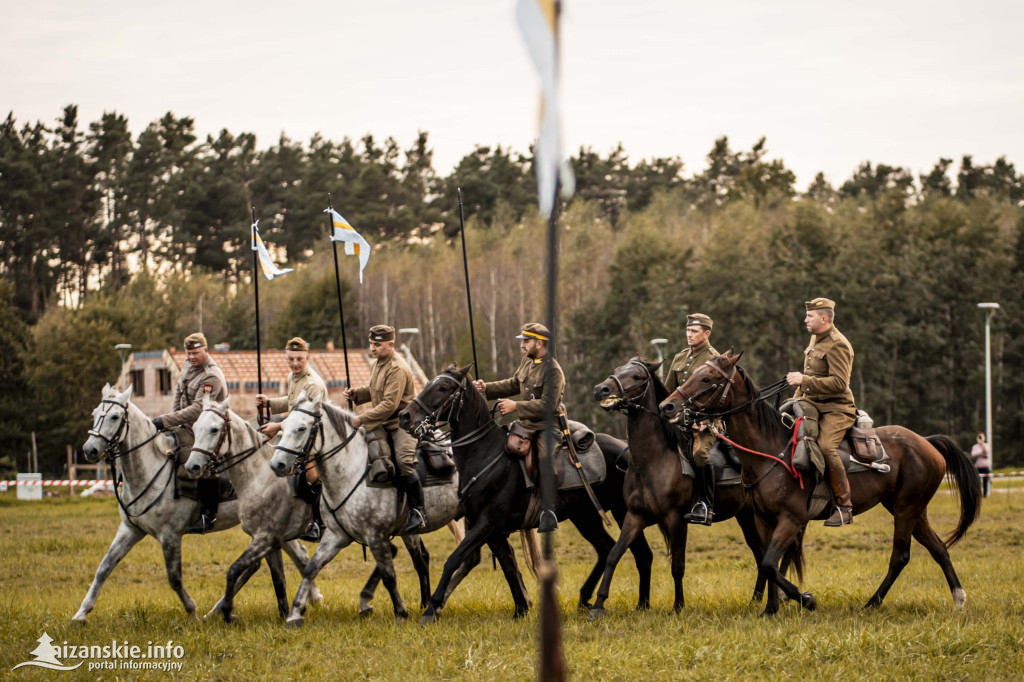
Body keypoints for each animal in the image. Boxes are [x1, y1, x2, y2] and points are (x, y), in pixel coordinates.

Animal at [74, 382, 319, 622]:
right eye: (95, 414)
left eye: (115, 416)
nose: (90, 449)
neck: (152, 469)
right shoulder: (130, 530)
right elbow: (104, 568)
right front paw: (81, 613)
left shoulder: (170, 535)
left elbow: (174, 578)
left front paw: (191, 610)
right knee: (284, 558)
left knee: (289, 557)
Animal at [268, 395, 468, 622]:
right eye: (283, 426)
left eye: (302, 428)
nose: (277, 465)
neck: (350, 470)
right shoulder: (336, 536)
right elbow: (311, 568)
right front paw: (295, 613)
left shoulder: (375, 536)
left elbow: (389, 575)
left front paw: (400, 612)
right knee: (423, 559)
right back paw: (427, 603)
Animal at [395, 364, 651, 618]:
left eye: (443, 387)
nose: (405, 416)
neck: (485, 454)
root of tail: (625, 449)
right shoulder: (489, 528)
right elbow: (508, 564)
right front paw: (521, 609)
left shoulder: (486, 522)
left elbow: (454, 559)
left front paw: (431, 607)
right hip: (585, 517)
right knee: (607, 549)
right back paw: (591, 597)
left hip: (622, 513)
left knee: (640, 553)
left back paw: (640, 604)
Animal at [585, 356, 798, 614]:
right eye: (617, 370)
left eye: (637, 376)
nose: (601, 389)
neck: (653, 460)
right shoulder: (634, 517)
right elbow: (614, 555)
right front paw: (598, 604)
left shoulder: (676, 519)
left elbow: (678, 566)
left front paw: (678, 606)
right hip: (747, 517)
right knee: (760, 556)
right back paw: (755, 600)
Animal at [659, 352, 978, 614]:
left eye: (707, 378)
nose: (668, 405)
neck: (771, 450)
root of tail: (926, 442)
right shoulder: (764, 519)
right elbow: (768, 563)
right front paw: (771, 609)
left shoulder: (791, 519)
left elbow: (769, 563)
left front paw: (806, 600)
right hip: (912, 510)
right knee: (938, 548)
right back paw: (959, 598)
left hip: (905, 509)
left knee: (900, 556)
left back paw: (871, 604)